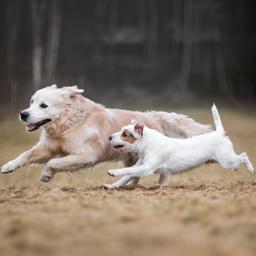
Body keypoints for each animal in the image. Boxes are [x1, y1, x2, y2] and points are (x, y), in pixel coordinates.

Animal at [1, 85, 211, 187]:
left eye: (43, 105)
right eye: (31, 101)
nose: (23, 114)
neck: (70, 122)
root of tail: (153, 115)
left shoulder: (86, 156)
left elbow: (53, 162)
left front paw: (46, 174)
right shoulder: (48, 146)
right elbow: (26, 155)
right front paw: (8, 166)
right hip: (130, 157)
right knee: (135, 173)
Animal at [106, 104, 254, 188]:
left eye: (125, 134)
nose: (110, 137)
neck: (148, 143)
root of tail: (219, 133)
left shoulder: (147, 168)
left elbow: (127, 171)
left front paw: (113, 172)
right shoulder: (140, 165)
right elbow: (127, 175)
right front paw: (112, 186)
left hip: (229, 162)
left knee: (244, 156)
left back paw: (252, 170)